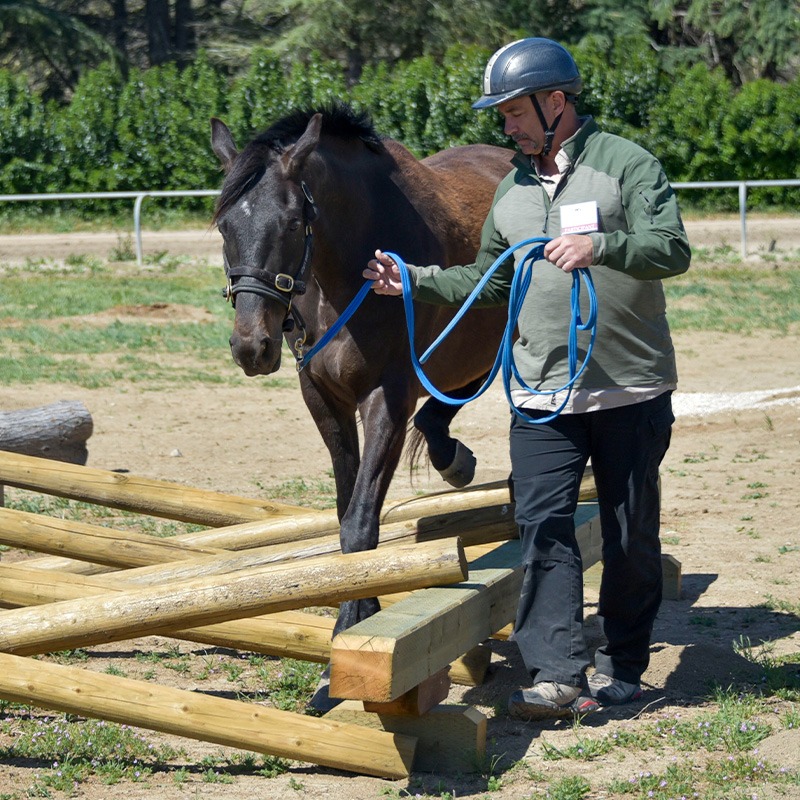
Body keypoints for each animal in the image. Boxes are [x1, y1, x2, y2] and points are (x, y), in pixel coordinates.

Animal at [211, 101, 512, 676]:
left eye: (293, 222)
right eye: (224, 226)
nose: (252, 346)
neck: (347, 273)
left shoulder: (386, 399)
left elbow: (361, 522)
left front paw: (352, 627)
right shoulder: (323, 397)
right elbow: (347, 511)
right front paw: (355, 612)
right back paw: (452, 456)